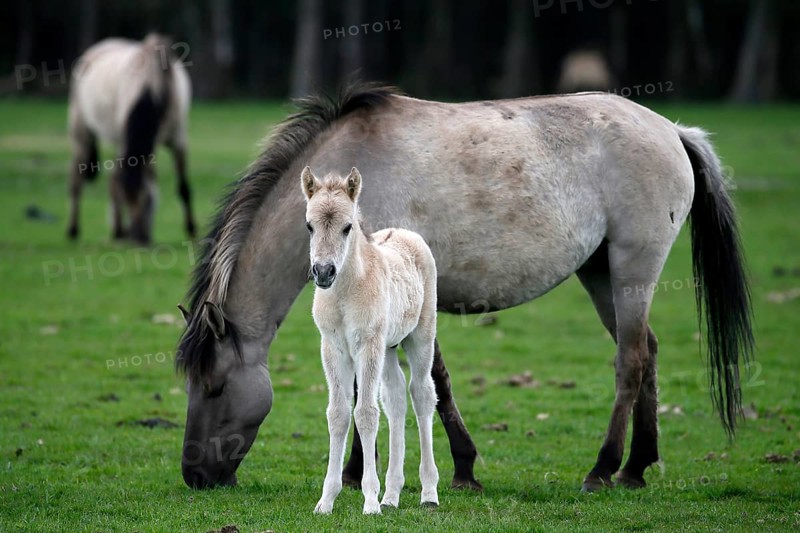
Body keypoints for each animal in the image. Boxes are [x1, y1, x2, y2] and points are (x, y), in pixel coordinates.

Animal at [67, 33, 196, 244]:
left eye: (147, 199)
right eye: (129, 201)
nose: (136, 238)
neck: (153, 86)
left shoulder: (178, 140)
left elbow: (183, 187)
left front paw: (192, 229)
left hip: (119, 142)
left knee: (112, 179)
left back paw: (116, 230)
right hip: (82, 134)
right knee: (77, 181)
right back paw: (74, 229)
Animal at [302, 166, 440, 514]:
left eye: (347, 227)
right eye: (309, 225)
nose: (323, 272)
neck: (345, 293)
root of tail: (405, 233)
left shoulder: (368, 345)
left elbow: (365, 413)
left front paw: (369, 502)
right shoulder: (333, 348)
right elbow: (338, 414)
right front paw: (326, 500)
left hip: (420, 337)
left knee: (421, 394)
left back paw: (428, 493)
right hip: (389, 347)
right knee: (395, 397)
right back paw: (392, 495)